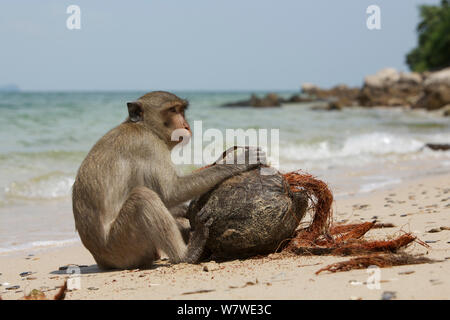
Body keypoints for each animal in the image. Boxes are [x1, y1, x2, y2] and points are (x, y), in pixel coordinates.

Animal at [71, 91, 264, 268]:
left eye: (181, 110)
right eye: (172, 110)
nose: (186, 125)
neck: (146, 127)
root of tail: (100, 260)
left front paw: (184, 210)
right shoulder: (148, 145)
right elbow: (171, 191)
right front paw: (239, 162)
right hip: (121, 246)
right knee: (144, 198)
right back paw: (187, 254)